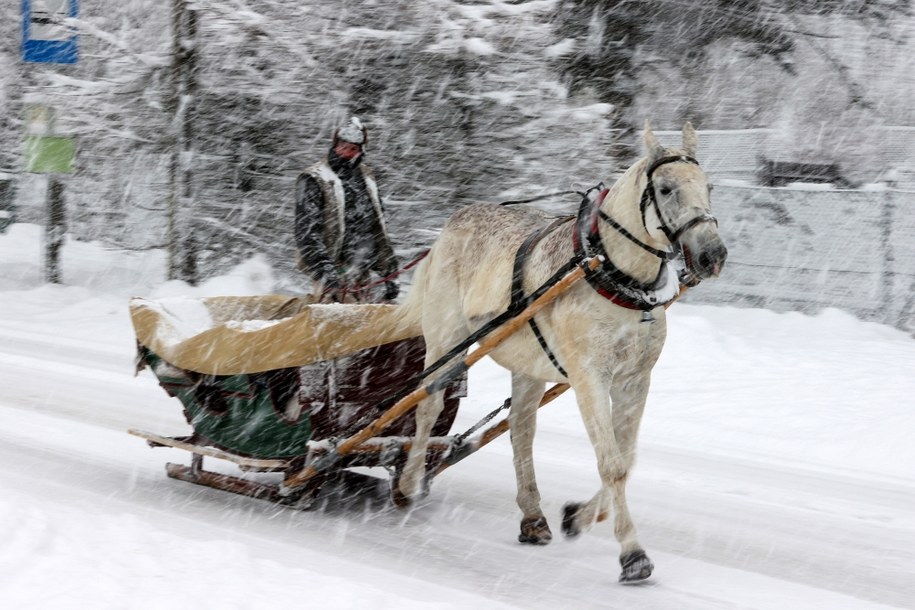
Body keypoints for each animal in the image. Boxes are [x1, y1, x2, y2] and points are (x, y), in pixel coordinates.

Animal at [394, 122, 728, 580]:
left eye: (708, 186)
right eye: (665, 188)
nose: (714, 254)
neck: (614, 275)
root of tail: (452, 222)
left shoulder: (635, 380)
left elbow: (626, 458)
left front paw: (578, 517)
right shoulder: (589, 377)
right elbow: (612, 463)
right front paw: (632, 553)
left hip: (528, 367)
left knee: (521, 430)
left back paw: (532, 517)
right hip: (446, 341)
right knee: (428, 406)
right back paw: (409, 484)